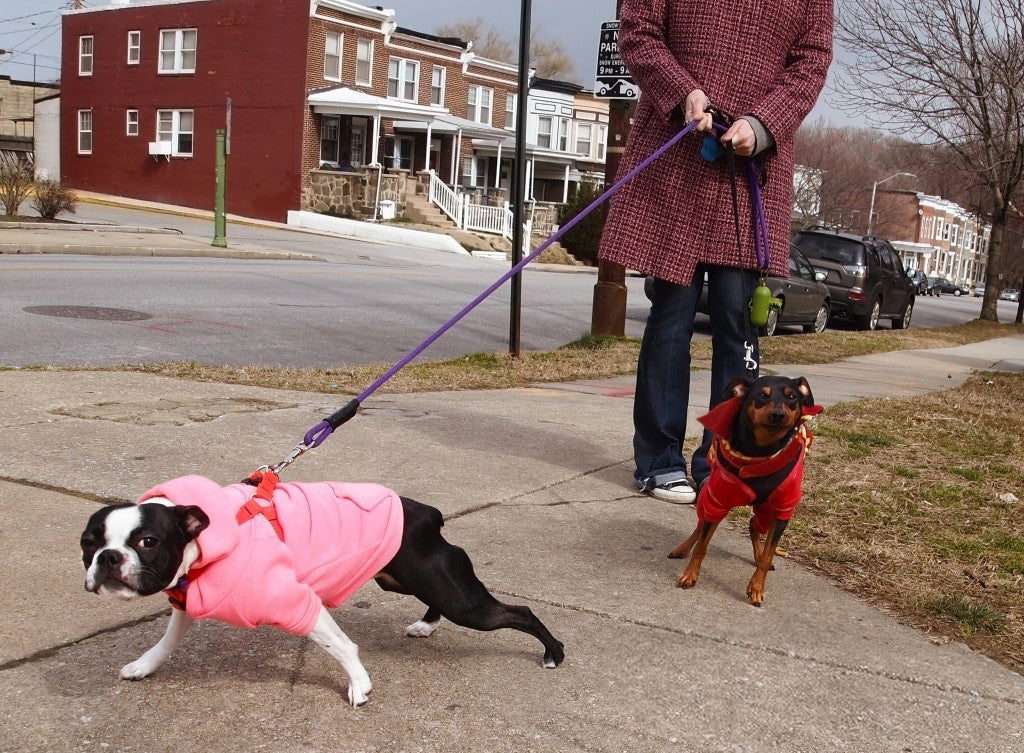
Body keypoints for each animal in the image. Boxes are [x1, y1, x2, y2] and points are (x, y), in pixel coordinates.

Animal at [667, 377, 819, 606]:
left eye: (792, 397)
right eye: (762, 395)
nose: (778, 414)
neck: (761, 452)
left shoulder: (784, 509)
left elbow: (768, 554)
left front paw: (756, 587)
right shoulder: (717, 501)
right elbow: (702, 546)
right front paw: (690, 575)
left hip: (766, 511)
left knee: (754, 525)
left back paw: (757, 554)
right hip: (709, 500)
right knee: (701, 526)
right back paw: (682, 548)